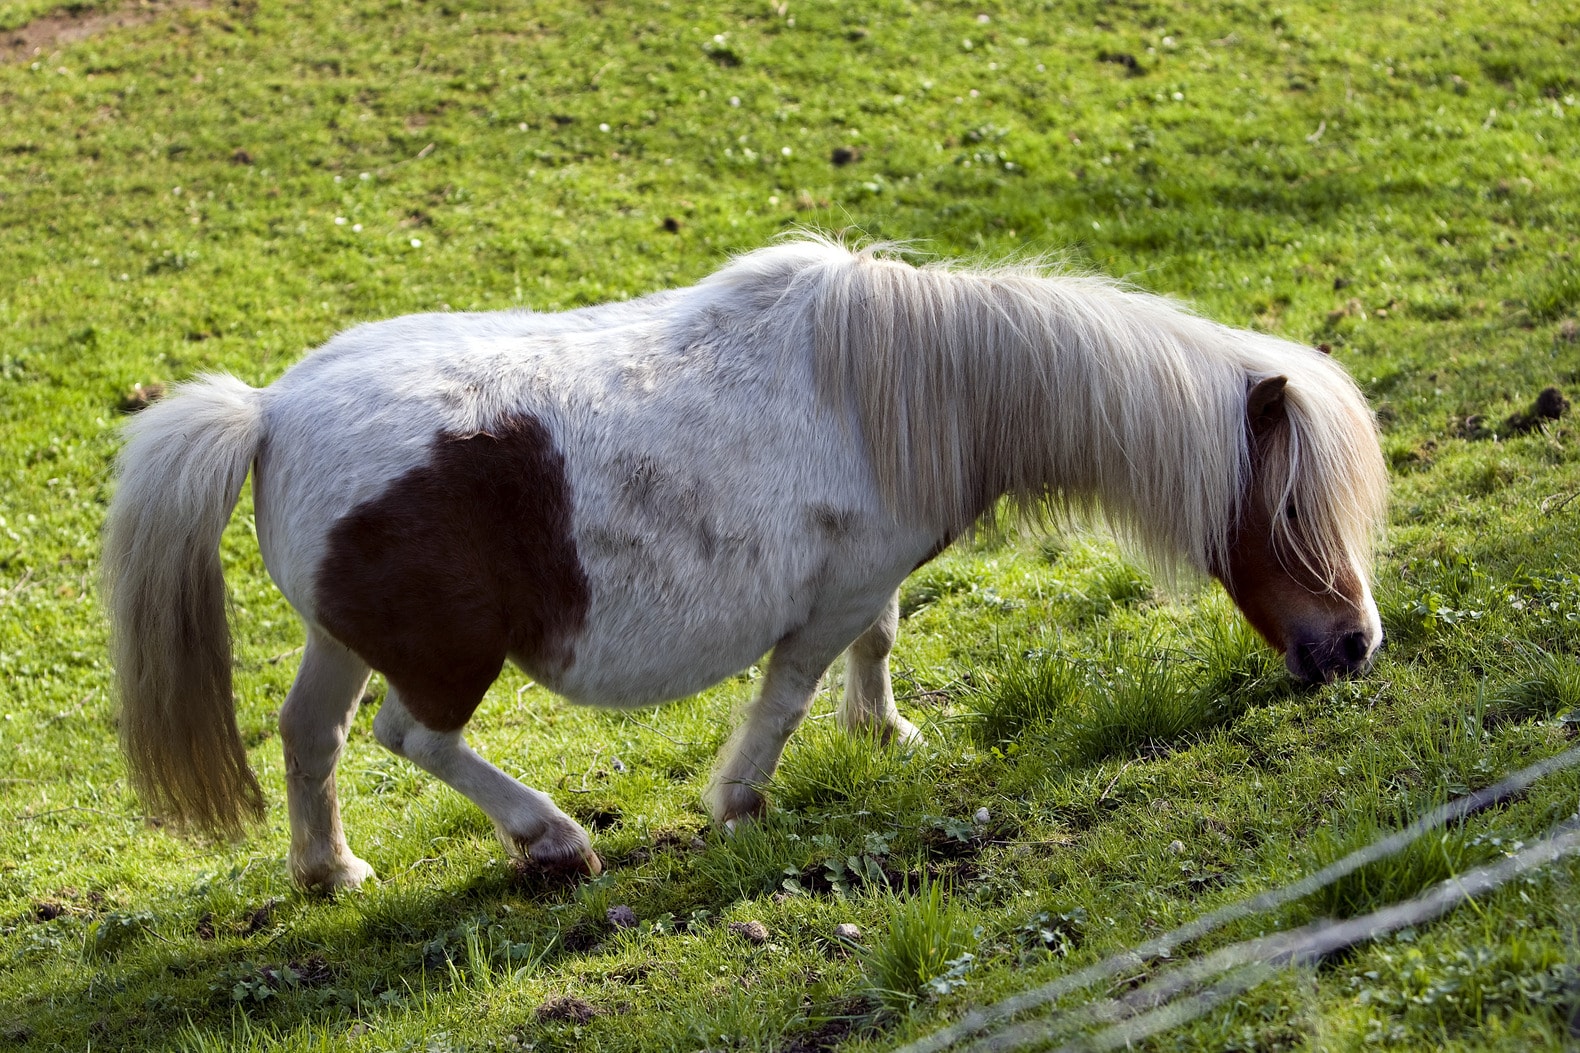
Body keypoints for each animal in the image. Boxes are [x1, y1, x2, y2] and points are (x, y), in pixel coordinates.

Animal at [95, 237, 1384, 885]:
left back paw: (330, 873)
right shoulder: (835, 589)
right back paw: (550, 838)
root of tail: (266, 413)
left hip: (341, 640)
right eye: (1289, 514)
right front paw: (743, 800)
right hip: (442, 660)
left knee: (310, 738)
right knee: (417, 739)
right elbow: (789, 689)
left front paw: (885, 734)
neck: (905, 386)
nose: (1356, 646)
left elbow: (878, 643)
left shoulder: (868, 578)